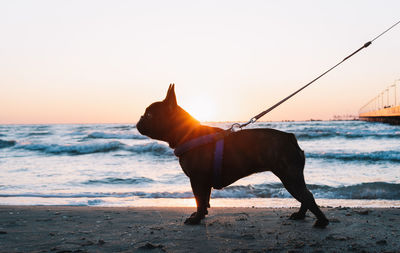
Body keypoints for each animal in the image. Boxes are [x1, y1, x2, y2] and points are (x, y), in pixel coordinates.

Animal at [136, 84, 330, 227]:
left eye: (150, 114)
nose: (139, 120)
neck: (188, 134)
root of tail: (290, 138)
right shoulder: (203, 181)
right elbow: (204, 200)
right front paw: (201, 215)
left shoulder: (197, 179)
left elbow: (199, 199)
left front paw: (196, 219)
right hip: (292, 177)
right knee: (306, 194)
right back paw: (300, 215)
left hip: (289, 177)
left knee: (307, 196)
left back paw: (322, 222)